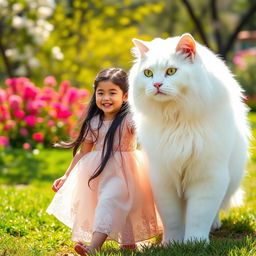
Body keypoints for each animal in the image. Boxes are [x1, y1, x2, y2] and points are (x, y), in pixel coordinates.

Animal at [129, 34, 249, 244]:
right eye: (148, 73)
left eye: (171, 71)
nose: (156, 85)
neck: (177, 121)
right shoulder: (163, 177)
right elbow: (173, 219)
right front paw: (172, 243)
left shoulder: (207, 176)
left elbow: (199, 216)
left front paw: (195, 243)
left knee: (215, 211)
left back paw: (214, 225)